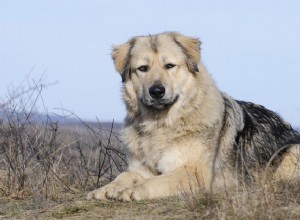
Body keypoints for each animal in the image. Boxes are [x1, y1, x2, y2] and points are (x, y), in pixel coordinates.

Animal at [86, 31, 300, 202]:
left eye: (169, 66)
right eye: (143, 68)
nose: (157, 91)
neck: (160, 125)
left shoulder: (195, 172)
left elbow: (156, 181)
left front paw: (132, 191)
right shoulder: (141, 169)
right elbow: (125, 175)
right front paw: (106, 189)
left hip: (291, 152)